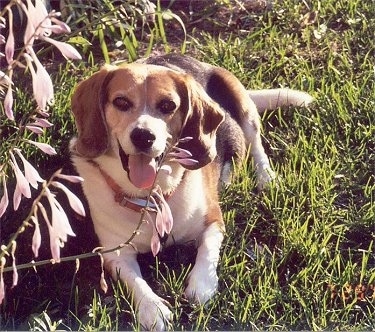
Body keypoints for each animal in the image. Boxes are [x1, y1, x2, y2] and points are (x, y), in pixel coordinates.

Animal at [70, 53, 314, 330]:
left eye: (167, 106)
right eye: (121, 101)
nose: (143, 136)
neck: (152, 197)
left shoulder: (214, 221)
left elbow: (207, 251)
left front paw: (202, 285)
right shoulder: (115, 253)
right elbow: (135, 280)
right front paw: (152, 309)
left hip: (243, 105)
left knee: (256, 143)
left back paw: (266, 177)